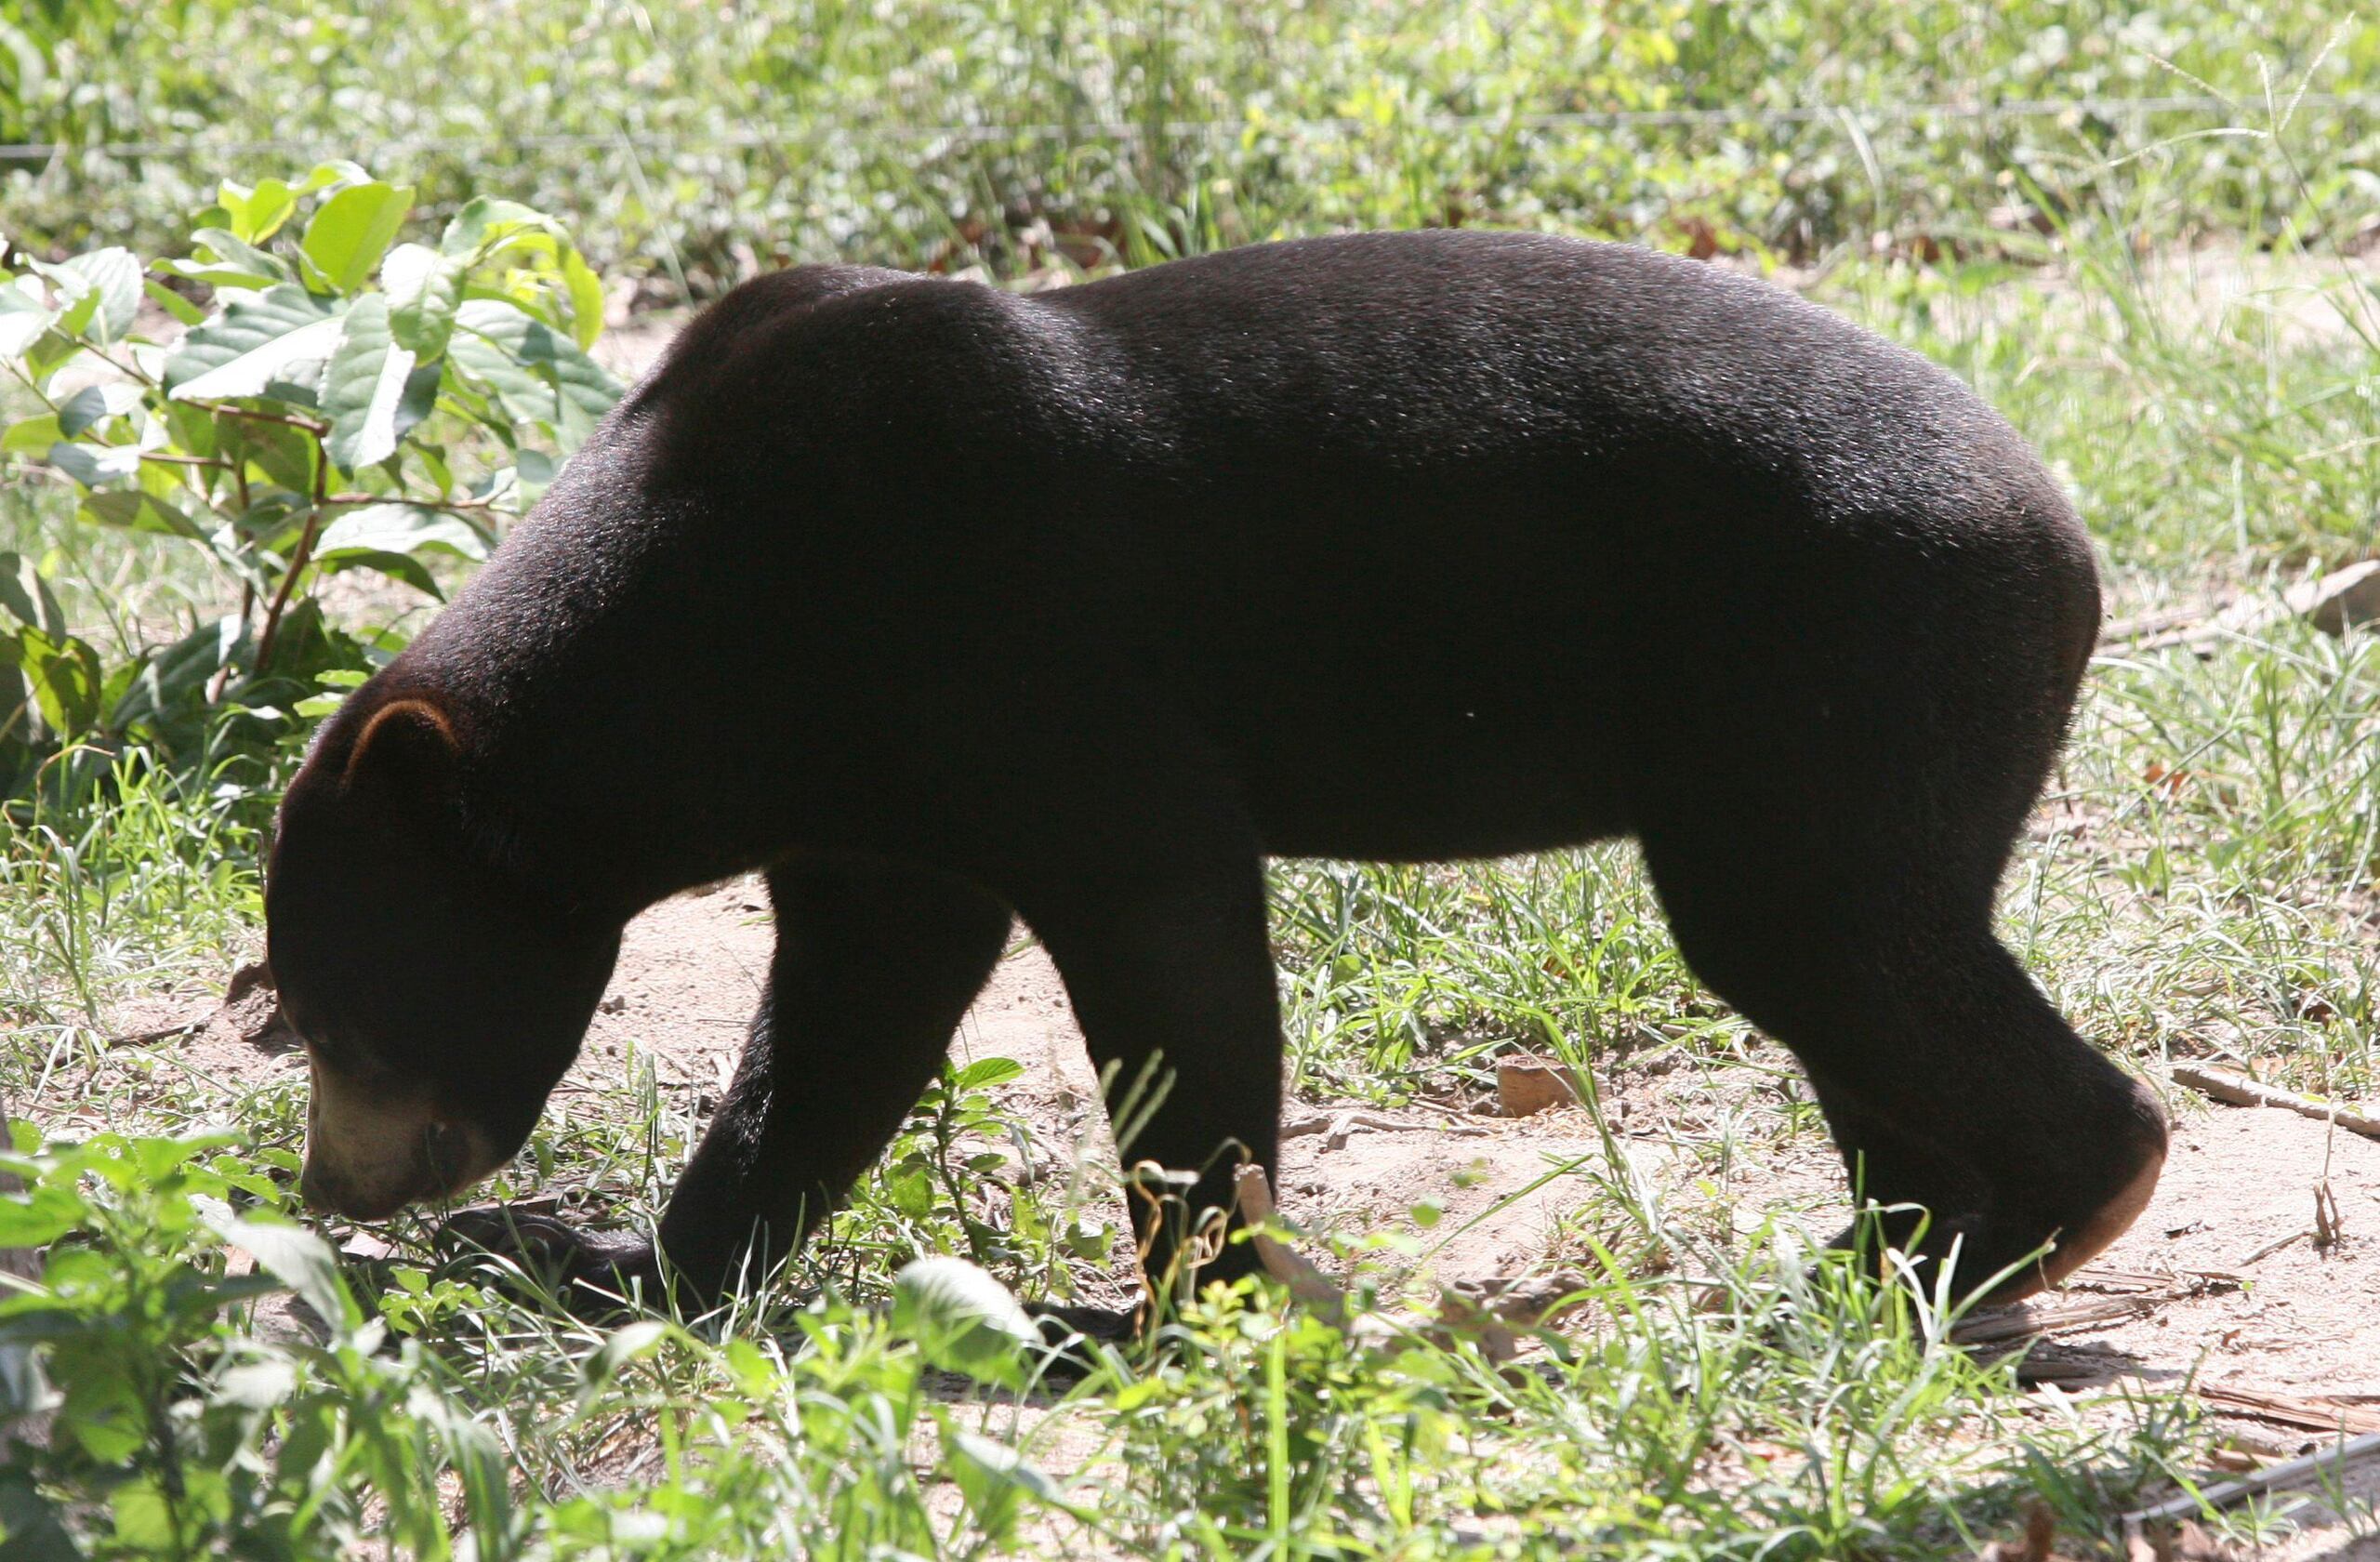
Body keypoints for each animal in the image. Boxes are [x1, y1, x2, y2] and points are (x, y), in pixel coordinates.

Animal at [264, 229, 2167, 1321]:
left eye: (349, 1016)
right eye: (292, 1017)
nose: (334, 1190)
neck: (706, 629)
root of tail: (2066, 538)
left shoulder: (1019, 658)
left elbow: (1167, 952)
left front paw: (1172, 1320)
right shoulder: (873, 808)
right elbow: (841, 1031)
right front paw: (604, 1261)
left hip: (1838, 683)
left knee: (1826, 942)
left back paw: (2032, 1222)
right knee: (1862, 992)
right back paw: (1894, 1254)